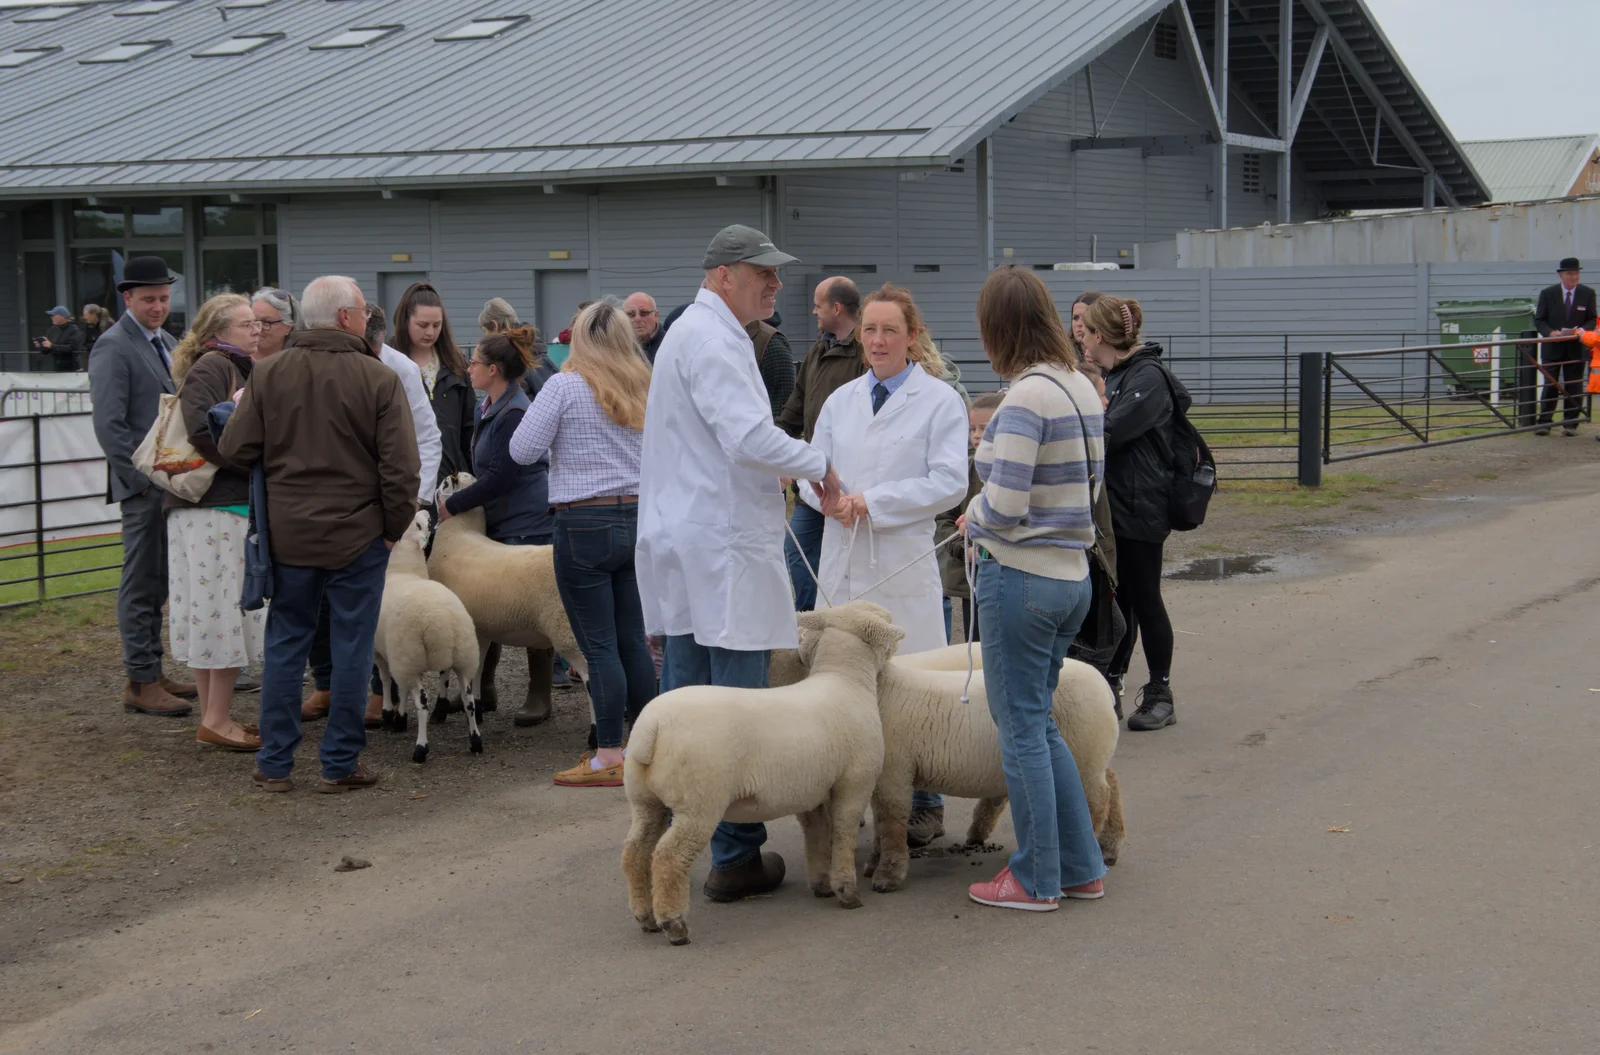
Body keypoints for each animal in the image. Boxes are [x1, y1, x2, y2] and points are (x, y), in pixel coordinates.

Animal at [617, 601, 908, 947]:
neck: (844, 679)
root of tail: (651, 729)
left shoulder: (813, 790)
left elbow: (817, 835)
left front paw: (822, 883)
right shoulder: (855, 781)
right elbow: (844, 834)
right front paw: (846, 890)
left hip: (645, 800)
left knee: (635, 853)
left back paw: (644, 916)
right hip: (698, 802)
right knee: (668, 858)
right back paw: (673, 925)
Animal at [771, 637, 1126, 890]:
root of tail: (1103, 686)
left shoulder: (893, 770)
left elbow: (889, 820)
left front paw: (886, 874)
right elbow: (881, 819)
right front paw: (873, 862)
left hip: (1085, 751)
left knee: (1099, 797)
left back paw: (1093, 846)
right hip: (1090, 751)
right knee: (1111, 780)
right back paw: (1109, 846)